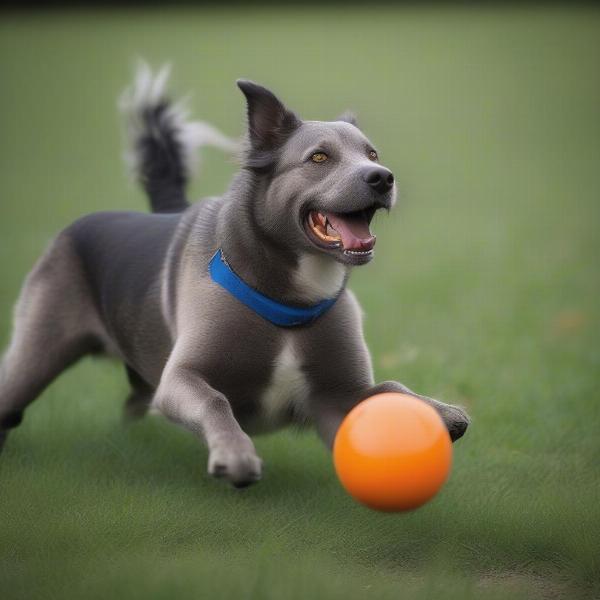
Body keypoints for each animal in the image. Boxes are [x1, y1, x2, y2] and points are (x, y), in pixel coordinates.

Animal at [0, 64, 468, 488]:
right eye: (319, 157)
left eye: (372, 155)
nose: (382, 178)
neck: (290, 301)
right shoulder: (180, 380)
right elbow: (213, 401)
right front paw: (235, 455)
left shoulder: (334, 399)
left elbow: (387, 385)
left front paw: (441, 410)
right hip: (36, 352)